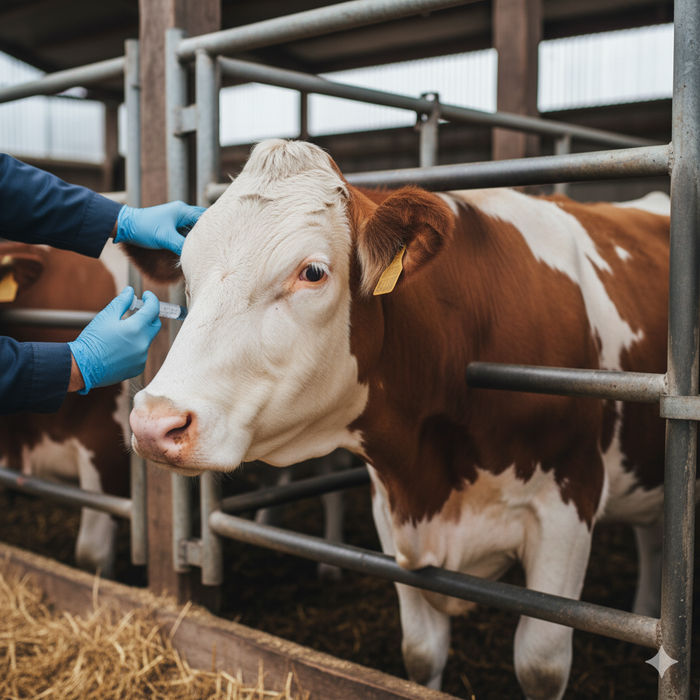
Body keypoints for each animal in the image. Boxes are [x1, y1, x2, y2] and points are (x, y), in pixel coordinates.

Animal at [125, 139, 674, 700]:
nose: (154, 422)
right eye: (186, 274)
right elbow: (420, 651)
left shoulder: (569, 501)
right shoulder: (391, 509)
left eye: (313, 272)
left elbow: (540, 664)